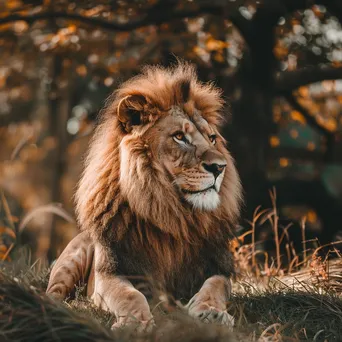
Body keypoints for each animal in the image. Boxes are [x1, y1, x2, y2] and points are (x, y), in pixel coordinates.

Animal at [46, 62, 242, 332]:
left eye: (212, 138)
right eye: (179, 136)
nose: (219, 167)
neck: (173, 213)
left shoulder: (218, 267)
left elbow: (214, 287)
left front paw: (212, 313)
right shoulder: (111, 272)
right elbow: (129, 295)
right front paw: (134, 322)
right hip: (72, 259)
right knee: (52, 292)